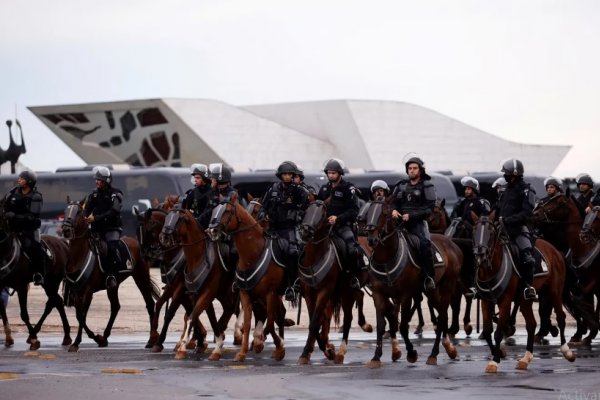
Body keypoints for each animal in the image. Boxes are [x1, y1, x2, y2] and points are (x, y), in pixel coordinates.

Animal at [0, 203, 72, 346]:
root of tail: (62, 242)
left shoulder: (21, 286)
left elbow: (24, 314)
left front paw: (33, 338)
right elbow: (1, 309)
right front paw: (9, 337)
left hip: (51, 282)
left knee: (55, 302)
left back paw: (63, 335)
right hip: (48, 283)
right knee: (56, 302)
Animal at [61, 202, 161, 352]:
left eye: (78, 212)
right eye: (66, 210)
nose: (66, 229)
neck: (80, 255)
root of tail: (137, 242)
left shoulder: (88, 292)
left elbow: (82, 316)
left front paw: (77, 342)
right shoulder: (77, 292)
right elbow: (80, 316)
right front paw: (95, 338)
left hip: (141, 277)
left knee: (149, 304)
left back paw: (151, 340)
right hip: (113, 286)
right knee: (115, 306)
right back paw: (105, 336)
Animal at [209, 192, 288, 360]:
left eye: (226, 211)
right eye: (214, 210)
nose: (211, 230)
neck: (252, 254)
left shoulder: (271, 293)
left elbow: (269, 324)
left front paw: (274, 347)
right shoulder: (246, 293)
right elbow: (247, 323)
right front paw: (242, 351)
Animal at [360, 195, 464, 368]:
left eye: (385, 214)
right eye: (368, 214)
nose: (372, 239)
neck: (387, 259)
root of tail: (450, 242)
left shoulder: (405, 295)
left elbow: (402, 326)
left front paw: (411, 353)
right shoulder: (379, 295)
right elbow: (381, 326)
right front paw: (376, 357)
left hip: (447, 286)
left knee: (443, 316)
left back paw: (434, 354)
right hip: (432, 291)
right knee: (441, 316)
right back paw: (448, 348)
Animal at [472, 214, 576, 374]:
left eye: (490, 232)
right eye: (473, 231)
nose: (480, 255)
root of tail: (555, 250)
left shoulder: (505, 301)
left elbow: (498, 332)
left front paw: (494, 361)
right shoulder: (486, 301)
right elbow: (488, 331)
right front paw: (500, 353)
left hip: (554, 292)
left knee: (560, 317)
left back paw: (567, 351)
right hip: (525, 299)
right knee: (531, 324)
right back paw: (525, 358)